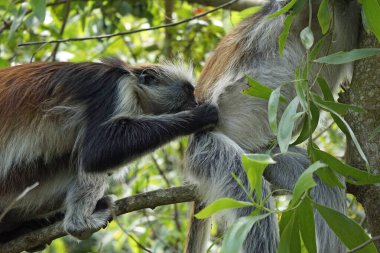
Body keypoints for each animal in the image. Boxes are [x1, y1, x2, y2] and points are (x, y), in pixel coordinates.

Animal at [0, 57, 218, 245]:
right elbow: (97, 152)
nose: (196, 102)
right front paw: (199, 116)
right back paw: (79, 225)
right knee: (87, 160)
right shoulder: (115, 89)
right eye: (188, 91)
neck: (128, 75)